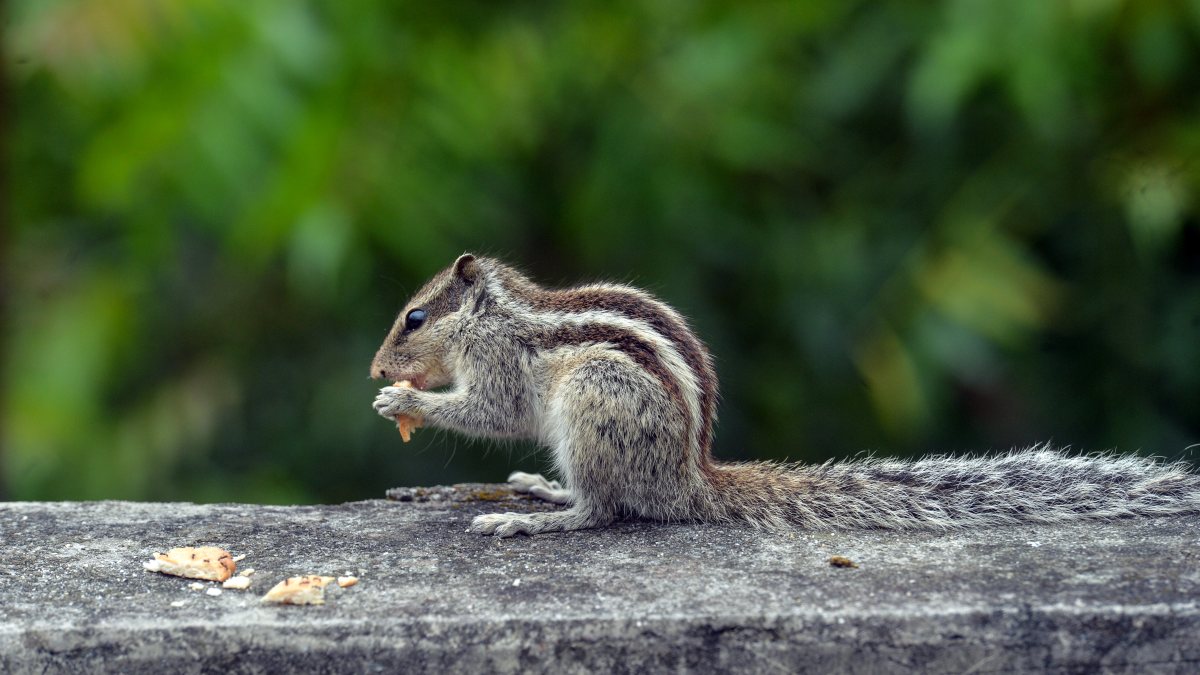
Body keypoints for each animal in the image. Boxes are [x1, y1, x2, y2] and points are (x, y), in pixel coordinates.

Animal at [371, 253, 1200, 537]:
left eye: (414, 317)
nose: (379, 371)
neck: (497, 311)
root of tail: (692, 478)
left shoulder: (502, 364)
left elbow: (491, 411)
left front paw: (407, 405)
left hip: (594, 404)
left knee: (605, 510)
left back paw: (537, 518)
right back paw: (543, 490)